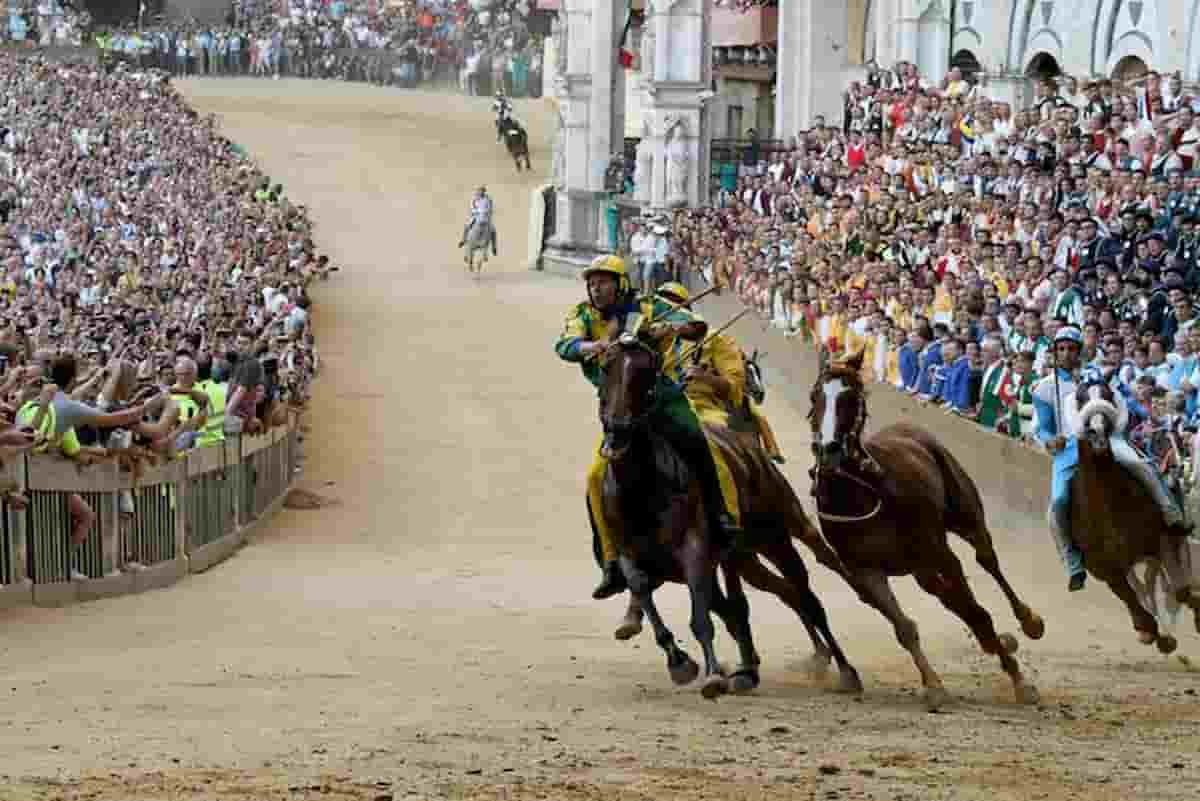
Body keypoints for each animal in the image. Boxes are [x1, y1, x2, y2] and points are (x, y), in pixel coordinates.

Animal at [592, 328, 864, 695]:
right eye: (606, 367)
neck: (642, 487)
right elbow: (644, 590)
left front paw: (714, 674)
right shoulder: (630, 551)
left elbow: (704, 614)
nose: (618, 429)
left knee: (808, 591)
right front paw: (679, 660)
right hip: (745, 555)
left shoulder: (695, 547)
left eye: (646, 372)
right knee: (784, 592)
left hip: (777, 534)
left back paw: (845, 667)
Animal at [811, 347, 1046, 709]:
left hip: (963, 514)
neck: (862, 492)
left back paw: (1027, 621)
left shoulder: (937, 550)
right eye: (816, 396)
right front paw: (934, 684)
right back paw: (995, 639)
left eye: (849, 398)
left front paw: (1021, 682)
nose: (828, 449)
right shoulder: (865, 569)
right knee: (948, 594)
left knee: (986, 560)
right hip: (918, 566)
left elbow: (977, 609)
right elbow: (904, 627)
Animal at [1075, 376, 1195, 652]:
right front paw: (1152, 632)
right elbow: (1135, 601)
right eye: (1080, 398)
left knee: (1156, 582)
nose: (1097, 433)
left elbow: (1180, 588)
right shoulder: (1107, 567)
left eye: (1108, 394)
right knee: (1142, 588)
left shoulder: (1163, 538)